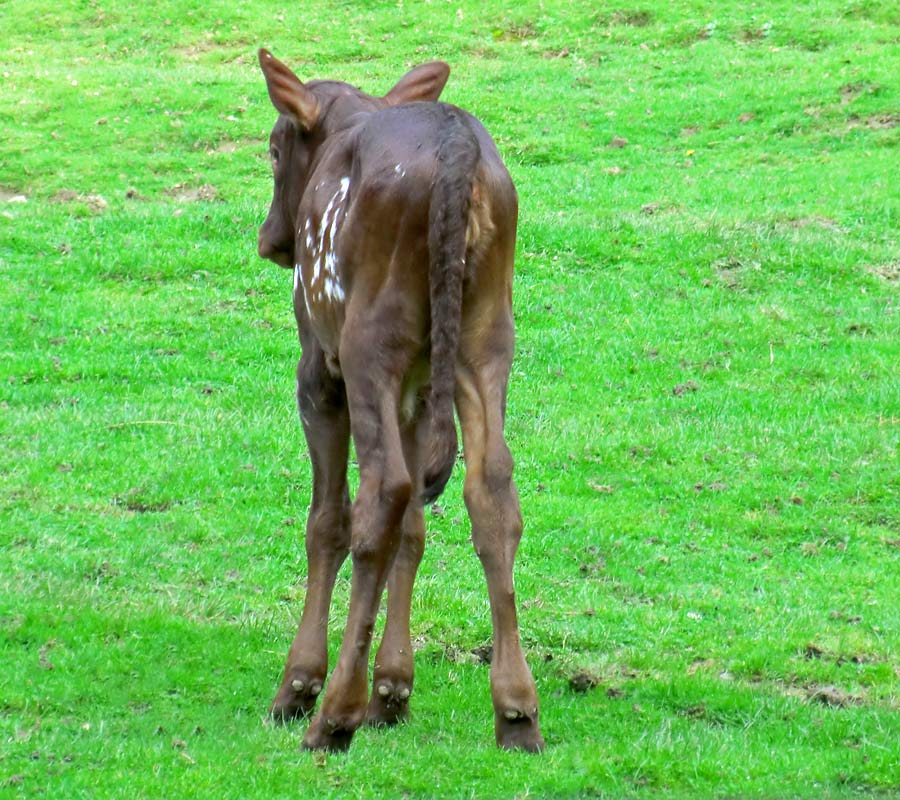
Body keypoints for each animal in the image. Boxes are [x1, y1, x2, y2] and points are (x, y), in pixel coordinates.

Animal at [256, 48, 544, 752]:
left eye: (274, 149)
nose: (271, 240)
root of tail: (459, 151)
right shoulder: (417, 388)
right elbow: (416, 526)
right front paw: (393, 689)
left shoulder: (319, 369)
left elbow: (329, 520)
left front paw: (302, 686)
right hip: (483, 342)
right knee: (490, 490)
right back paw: (516, 710)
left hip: (369, 346)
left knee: (382, 492)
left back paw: (333, 714)